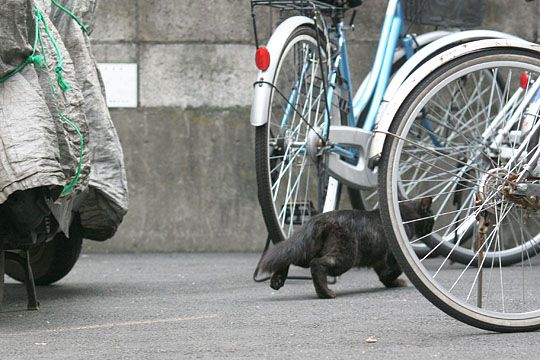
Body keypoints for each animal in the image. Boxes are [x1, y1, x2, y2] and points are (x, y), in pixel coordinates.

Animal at [258, 197, 434, 298]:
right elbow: (395, 270)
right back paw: (325, 293)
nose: (432, 229)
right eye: (431, 218)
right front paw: (396, 280)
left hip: (307, 252)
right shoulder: (391, 257)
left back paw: (277, 280)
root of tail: (320, 219)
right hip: (345, 257)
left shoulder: (378, 260)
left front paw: (394, 283)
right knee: (317, 264)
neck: (404, 214)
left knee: (287, 258)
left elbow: (384, 276)